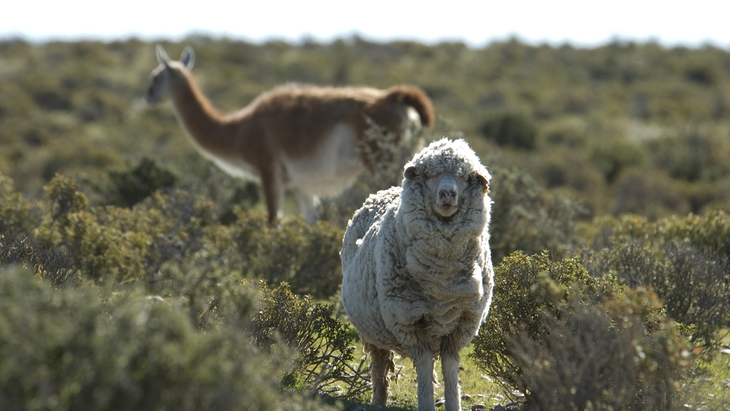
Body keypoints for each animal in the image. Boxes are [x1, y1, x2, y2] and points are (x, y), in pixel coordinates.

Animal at [145, 45, 434, 225]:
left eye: (155, 78)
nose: (147, 96)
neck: (237, 129)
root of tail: (393, 98)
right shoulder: (300, 185)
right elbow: (312, 224)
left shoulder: (268, 169)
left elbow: (273, 222)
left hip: (381, 161)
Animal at [340, 138, 494, 411]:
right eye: (429, 175)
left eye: (465, 177)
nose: (447, 194)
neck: (443, 281)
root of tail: (380, 192)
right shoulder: (409, 321)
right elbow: (422, 364)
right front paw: (426, 403)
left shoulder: (463, 323)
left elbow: (450, 366)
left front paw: (453, 403)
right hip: (372, 332)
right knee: (379, 367)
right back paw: (378, 400)